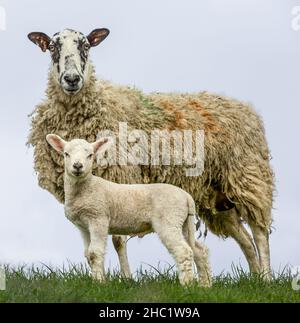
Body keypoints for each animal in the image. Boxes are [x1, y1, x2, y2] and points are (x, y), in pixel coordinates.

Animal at [45, 134, 212, 288]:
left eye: (90, 155)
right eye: (66, 154)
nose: (78, 166)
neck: (86, 188)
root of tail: (187, 197)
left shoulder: (98, 218)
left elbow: (94, 253)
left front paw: (99, 283)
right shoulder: (83, 226)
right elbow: (88, 254)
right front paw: (97, 281)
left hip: (169, 220)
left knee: (184, 251)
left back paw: (187, 285)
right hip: (184, 222)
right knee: (199, 250)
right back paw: (205, 285)